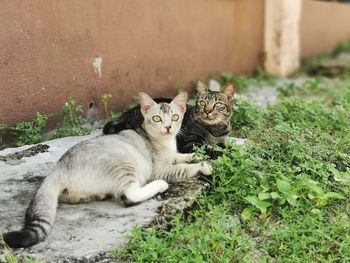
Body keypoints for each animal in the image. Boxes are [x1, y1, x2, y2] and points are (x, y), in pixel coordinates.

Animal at [2, 92, 211, 249]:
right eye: (157, 118)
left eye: (175, 117)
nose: (168, 127)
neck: (165, 143)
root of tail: (57, 170)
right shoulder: (160, 169)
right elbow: (182, 168)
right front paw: (204, 166)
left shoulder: (173, 155)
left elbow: (184, 156)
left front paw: (200, 156)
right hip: (123, 163)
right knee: (128, 195)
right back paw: (159, 186)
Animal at [104, 81, 235, 158]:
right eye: (202, 103)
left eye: (217, 104)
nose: (207, 111)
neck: (216, 130)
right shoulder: (190, 143)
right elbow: (213, 151)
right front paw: (229, 154)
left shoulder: (223, 140)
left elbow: (227, 146)